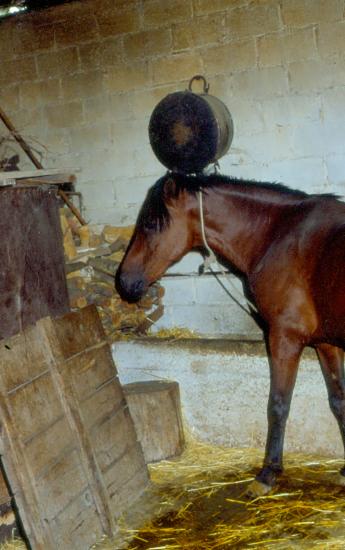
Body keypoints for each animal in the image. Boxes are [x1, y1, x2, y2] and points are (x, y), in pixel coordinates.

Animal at [116, 171, 345, 496]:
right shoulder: (326, 344)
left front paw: (268, 474)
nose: (124, 281)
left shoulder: (284, 338)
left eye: (149, 224)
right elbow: (339, 402)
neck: (278, 234)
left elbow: (278, 405)